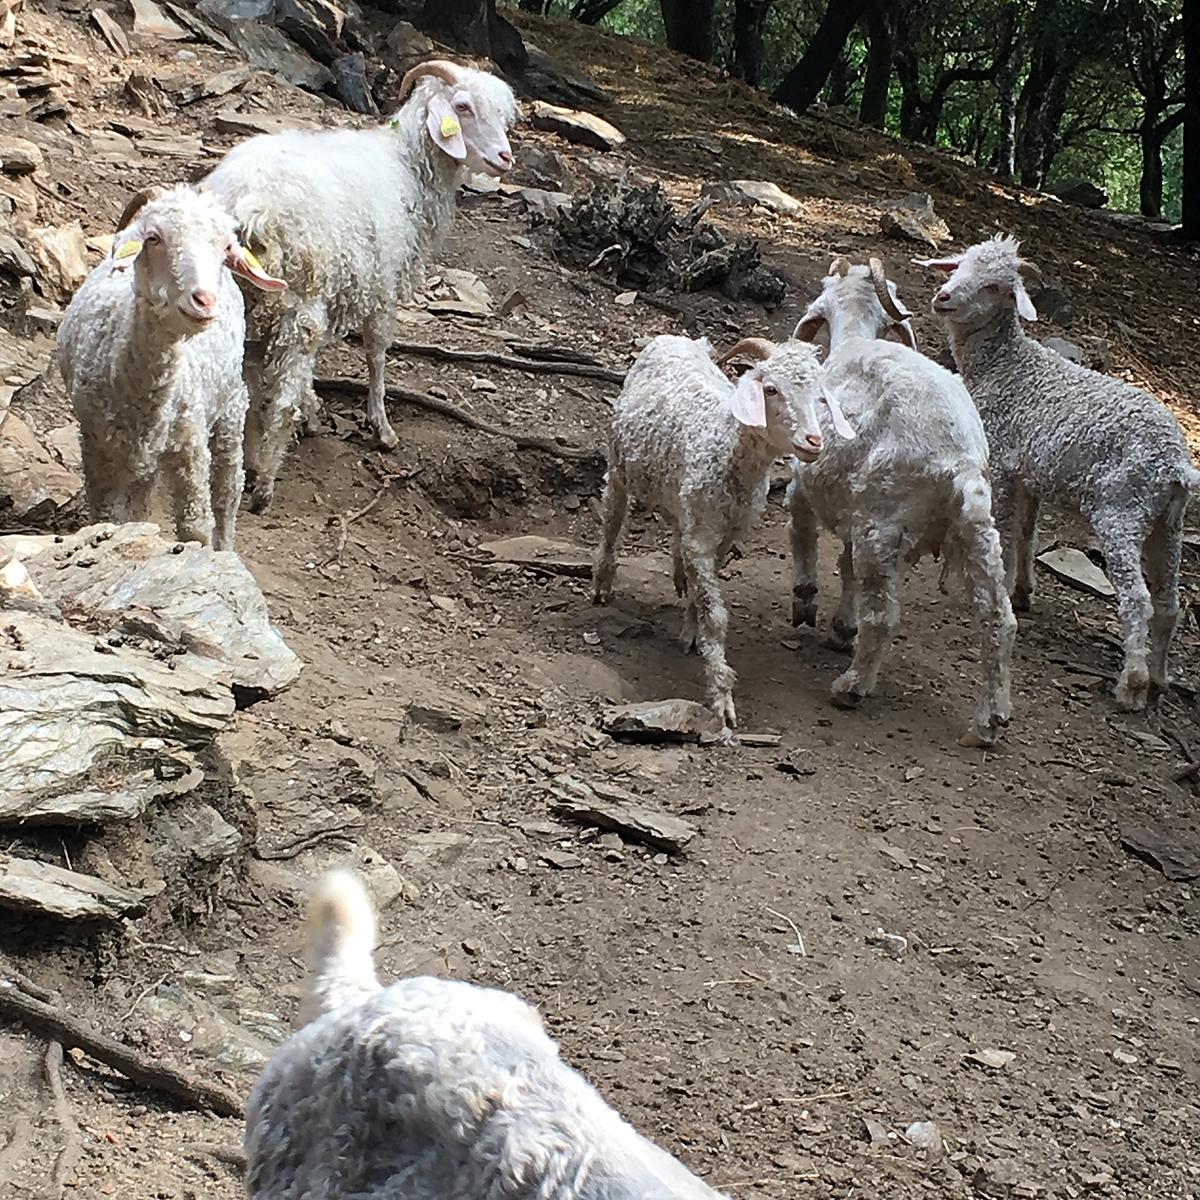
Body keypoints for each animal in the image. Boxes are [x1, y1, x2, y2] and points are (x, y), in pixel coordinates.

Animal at [206, 62, 516, 511]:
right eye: (462, 107)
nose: (505, 158)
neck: (408, 166)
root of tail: (250, 207)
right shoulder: (382, 285)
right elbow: (376, 353)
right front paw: (381, 427)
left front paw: (315, 409)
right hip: (299, 303)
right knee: (280, 401)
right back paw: (264, 482)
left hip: (245, 302)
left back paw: (251, 462)